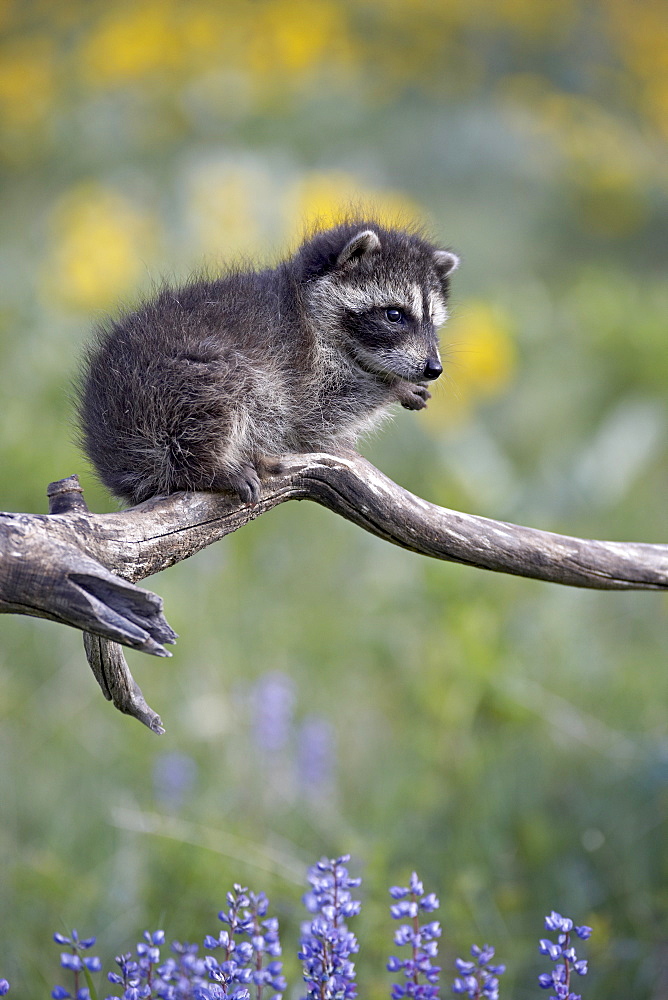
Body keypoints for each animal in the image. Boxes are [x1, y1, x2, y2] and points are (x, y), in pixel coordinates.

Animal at [74, 219, 460, 500]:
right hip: (170, 384)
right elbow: (321, 412)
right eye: (395, 315)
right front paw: (391, 385)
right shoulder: (300, 363)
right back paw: (208, 467)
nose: (433, 369)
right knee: (225, 392)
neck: (307, 304)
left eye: (432, 323)